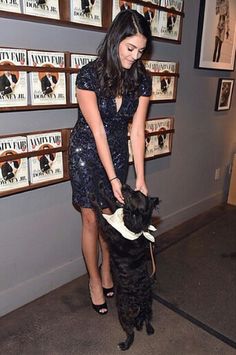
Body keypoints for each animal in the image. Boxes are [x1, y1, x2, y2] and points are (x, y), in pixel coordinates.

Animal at [90, 185, 159, 352]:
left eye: (135, 195)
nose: (124, 186)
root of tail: (139, 304)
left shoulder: (107, 228)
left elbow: (100, 214)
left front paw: (93, 199)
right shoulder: (116, 209)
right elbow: (111, 201)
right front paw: (102, 187)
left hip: (124, 314)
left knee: (131, 333)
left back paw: (125, 345)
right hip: (149, 305)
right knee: (148, 319)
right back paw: (149, 329)